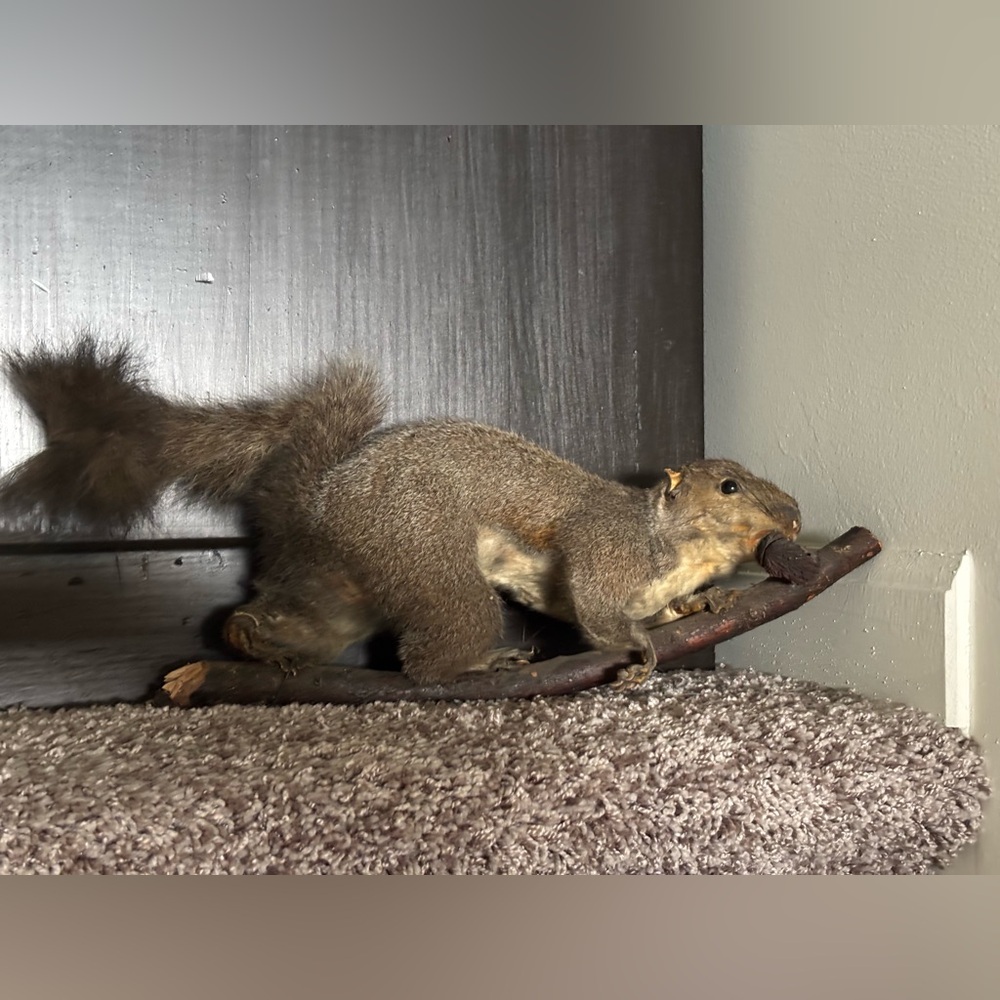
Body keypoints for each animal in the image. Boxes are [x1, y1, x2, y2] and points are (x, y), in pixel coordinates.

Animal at [0, 336, 803, 688]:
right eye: (728, 487)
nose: (795, 517)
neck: (668, 540)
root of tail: (320, 505)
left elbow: (658, 605)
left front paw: (699, 608)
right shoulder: (603, 546)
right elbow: (598, 608)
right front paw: (637, 647)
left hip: (341, 596)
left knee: (288, 615)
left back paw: (254, 642)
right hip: (429, 562)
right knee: (424, 661)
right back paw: (478, 662)